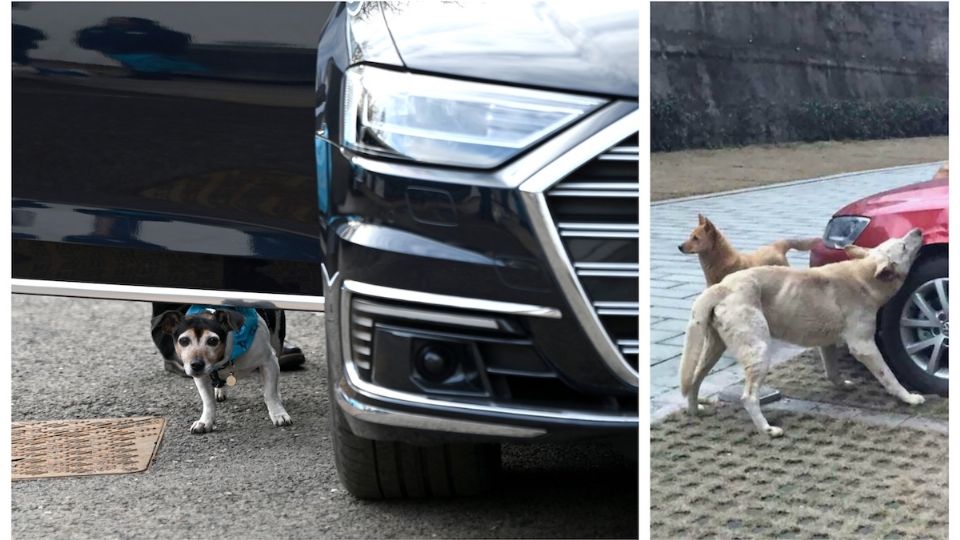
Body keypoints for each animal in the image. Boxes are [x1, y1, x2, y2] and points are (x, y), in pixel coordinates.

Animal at [159, 306, 292, 432]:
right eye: (184, 340)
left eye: (213, 340)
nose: (196, 364)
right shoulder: (202, 377)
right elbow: (208, 401)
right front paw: (205, 422)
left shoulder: (269, 361)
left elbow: (270, 393)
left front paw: (279, 414)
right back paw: (219, 390)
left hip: (276, 341)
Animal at [680, 230, 928, 436]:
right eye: (903, 246)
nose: (918, 231)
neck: (864, 275)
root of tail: (721, 286)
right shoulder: (864, 346)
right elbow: (889, 377)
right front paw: (908, 397)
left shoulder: (827, 343)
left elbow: (832, 371)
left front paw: (841, 384)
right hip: (759, 350)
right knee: (748, 397)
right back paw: (766, 428)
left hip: (713, 348)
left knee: (694, 380)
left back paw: (695, 411)